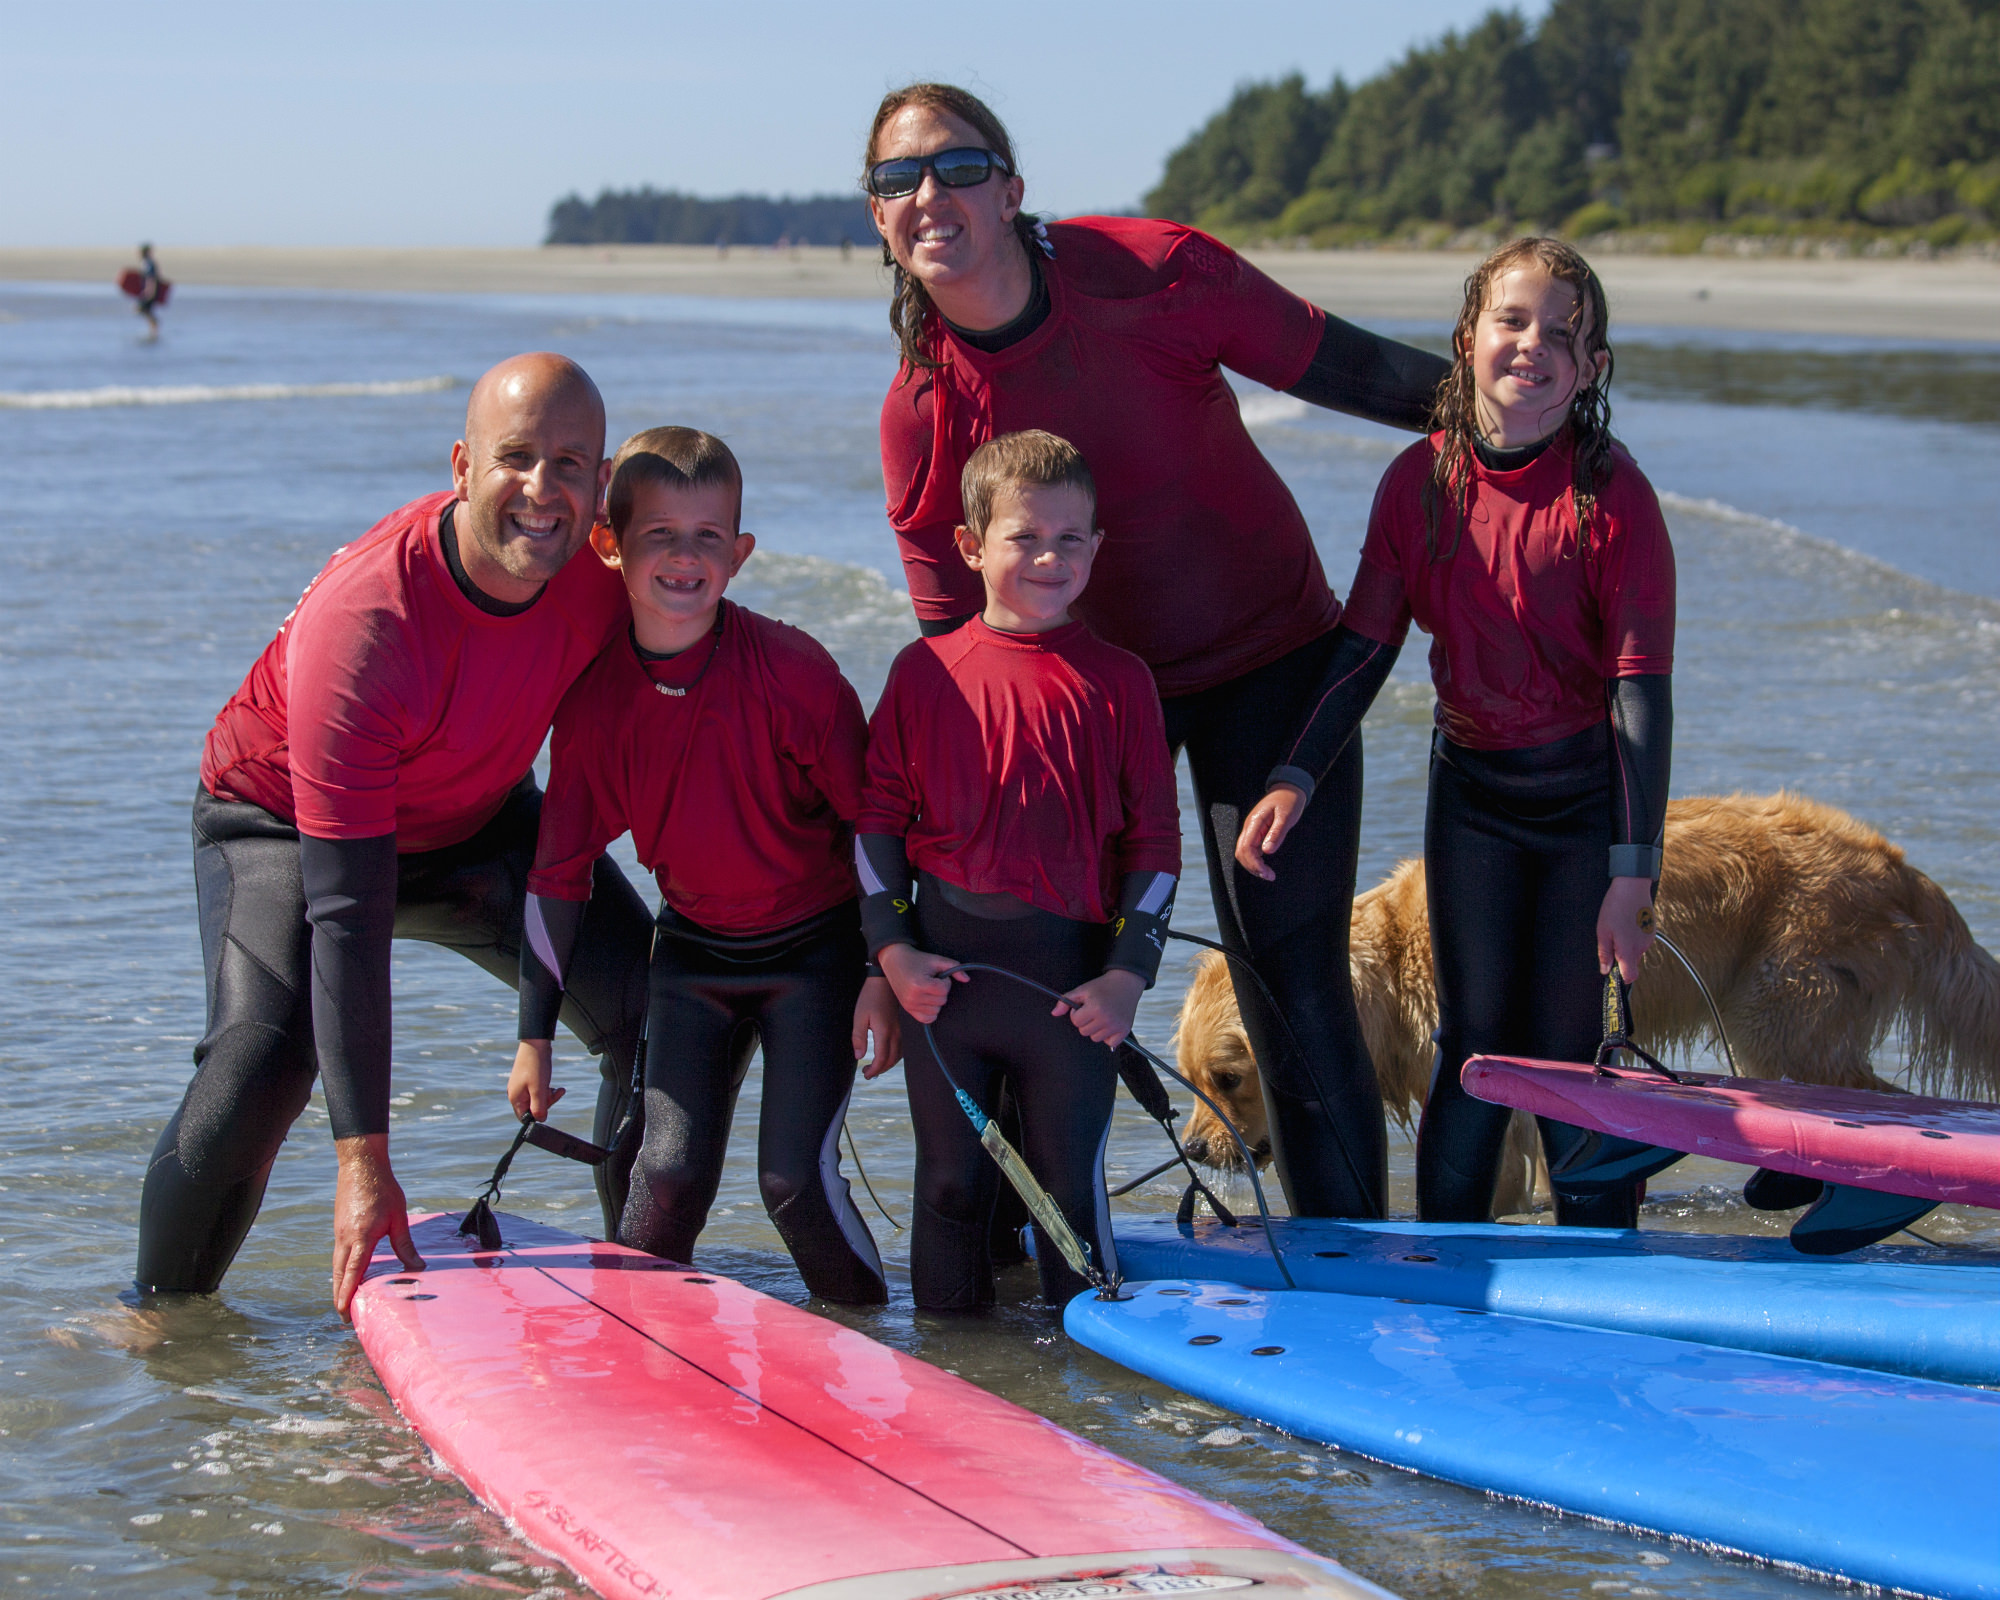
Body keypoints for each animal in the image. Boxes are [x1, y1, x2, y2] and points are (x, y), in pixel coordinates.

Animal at [1168, 792, 2000, 1216]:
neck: (1396, 960)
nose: (1198, 1151)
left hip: (1777, 1012)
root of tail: (1901, 868)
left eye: (1231, 1080)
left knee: (1869, 1103)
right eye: (1195, 1082)